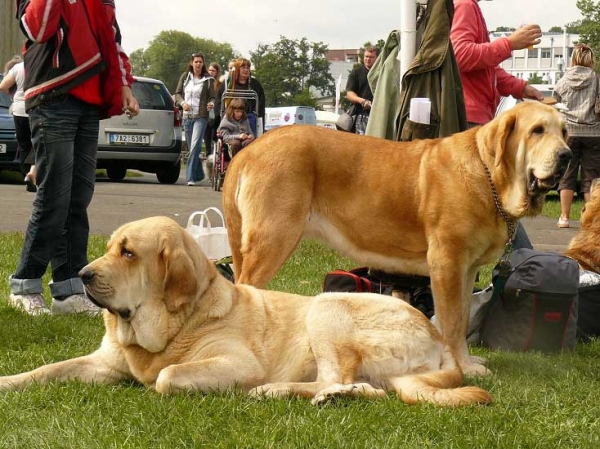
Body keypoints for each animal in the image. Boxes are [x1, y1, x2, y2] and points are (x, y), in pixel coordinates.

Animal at [0, 216, 490, 406]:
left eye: (128, 253)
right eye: (108, 249)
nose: (81, 275)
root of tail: (439, 338)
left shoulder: (235, 362)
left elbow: (166, 376)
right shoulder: (101, 364)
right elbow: (47, 369)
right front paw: (9, 381)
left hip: (327, 309)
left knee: (338, 381)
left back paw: (279, 391)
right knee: (371, 389)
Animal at [223, 100, 568, 374]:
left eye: (565, 132)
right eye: (537, 130)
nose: (566, 155)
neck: (489, 175)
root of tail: (250, 149)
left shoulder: (466, 270)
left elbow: (459, 318)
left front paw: (467, 362)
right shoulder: (447, 263)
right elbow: (453, 322)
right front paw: (462, 368)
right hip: (274, 240)